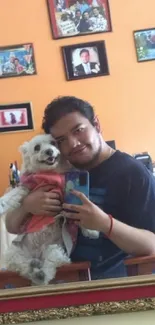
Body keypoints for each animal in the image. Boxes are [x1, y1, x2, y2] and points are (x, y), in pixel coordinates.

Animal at [0, 134, 99, 284]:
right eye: (37, 147)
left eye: (53, 143)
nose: (49, 151)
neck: (50, 174)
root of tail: (37, 255)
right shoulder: (26, 187)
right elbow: (12, 195)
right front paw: (1, 204)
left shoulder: (64, 198)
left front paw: (91, 231)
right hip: (14, 251)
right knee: (22, 265)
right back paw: (34, 267)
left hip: (54, 249)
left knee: (51, 263)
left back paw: (40, 273)